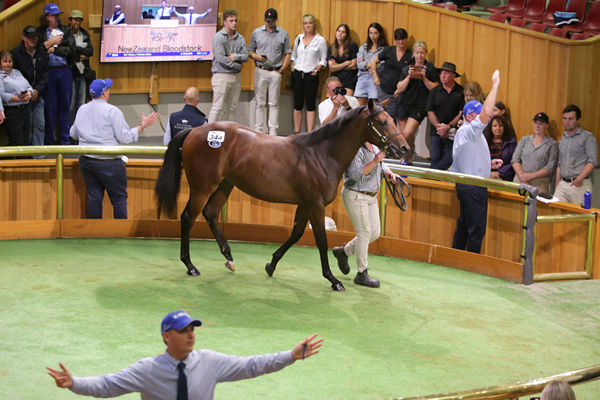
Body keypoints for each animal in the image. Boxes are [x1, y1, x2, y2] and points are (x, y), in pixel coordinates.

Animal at [154, 98, 408, 290]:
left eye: (392, 120)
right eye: (382, 122)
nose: (404, 148)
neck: (320, 154)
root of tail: (194, 131)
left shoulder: (305, 205)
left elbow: (295, 234)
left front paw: (271, 265)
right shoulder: (315, 205)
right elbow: (321, 241)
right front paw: (333, 279)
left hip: (225, 184)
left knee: (210, 213)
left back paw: (229, 258)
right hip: (202, 187)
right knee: (188, 217)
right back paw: (190, 266)